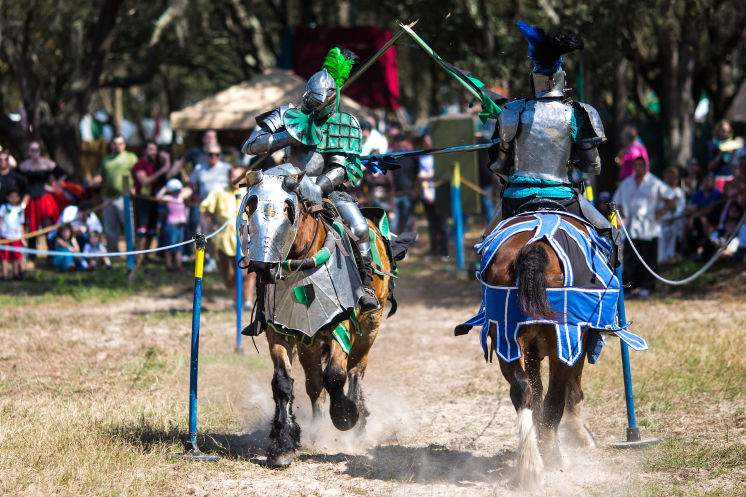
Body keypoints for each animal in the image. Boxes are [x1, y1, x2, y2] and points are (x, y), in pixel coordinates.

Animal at [247, 180, 392, 466]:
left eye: (287, 210)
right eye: (251, 209)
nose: (263, 266)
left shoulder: (341, 323)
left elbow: (335, 376)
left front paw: (346, 416)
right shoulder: (280, 332)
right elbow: (283, 383)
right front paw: (282, 445)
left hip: (370, 326)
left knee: (356, 369)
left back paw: (357, 416)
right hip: (310, 343)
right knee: (314, 384)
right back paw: (318, 427)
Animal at [480, 213, 596, 484]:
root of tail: (533, 250)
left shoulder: (530, 350)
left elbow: (536, 391)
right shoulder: (577, 340)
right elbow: (570, 391)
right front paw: (581, 436)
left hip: (506, 341)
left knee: (522, 391)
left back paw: (530, 462)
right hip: (563, 341)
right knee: (555, 398)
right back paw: (554, 456)